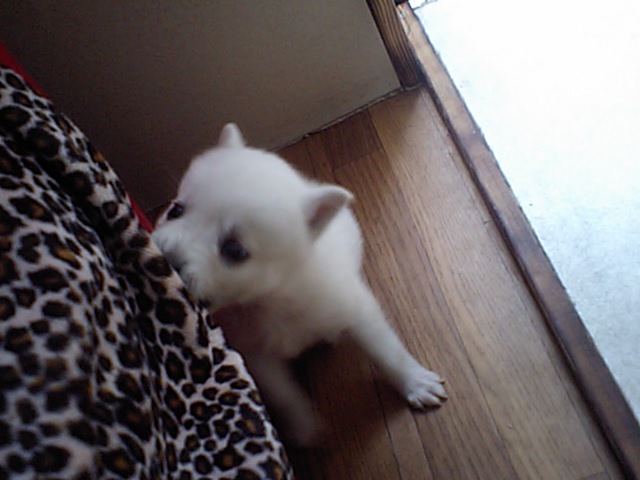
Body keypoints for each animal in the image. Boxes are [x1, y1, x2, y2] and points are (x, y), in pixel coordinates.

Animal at [152, 123, 447, 445]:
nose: (163, 258)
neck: (271, 297)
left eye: (234, 250)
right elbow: (283, 393)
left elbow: (386, 349)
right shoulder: (257, 354)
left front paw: (415, 381)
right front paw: (304, 426)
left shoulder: (353, 309)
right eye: (175, 210)